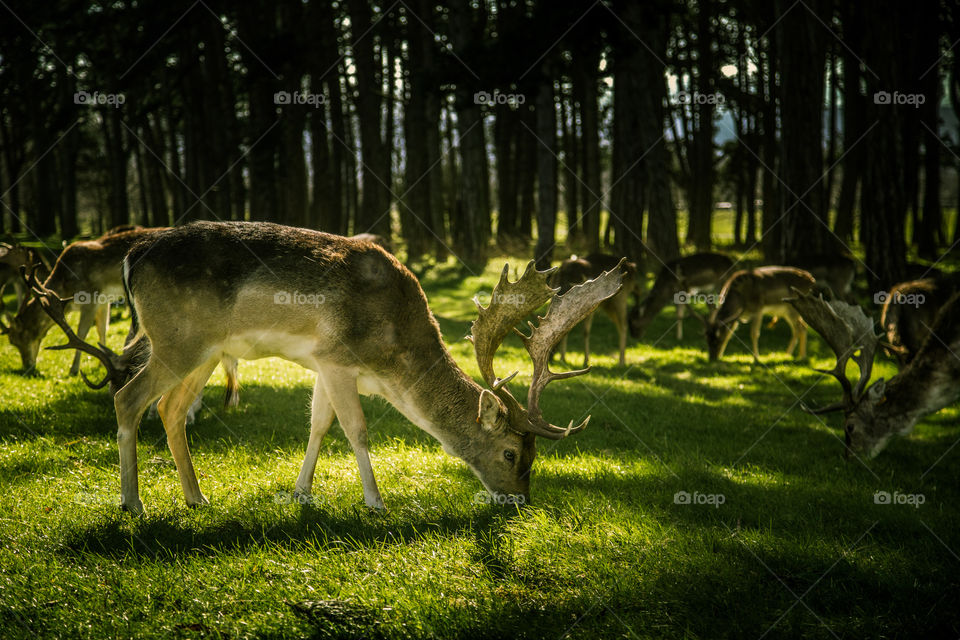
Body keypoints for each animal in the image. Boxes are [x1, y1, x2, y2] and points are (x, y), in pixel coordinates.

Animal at [56, 221, 624, 516]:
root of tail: (132, 258)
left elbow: (318, 424)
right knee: (128, 398)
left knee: (171, 409)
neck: (392, 363)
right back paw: (132, 504)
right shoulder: (336, 358)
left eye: (534, 455)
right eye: (510, 452)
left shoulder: (321, 366)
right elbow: (356, 428)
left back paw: (197, 498)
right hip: (177, 341)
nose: (521, 501)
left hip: (207, 350)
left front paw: (301, 493)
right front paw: (375, 503)